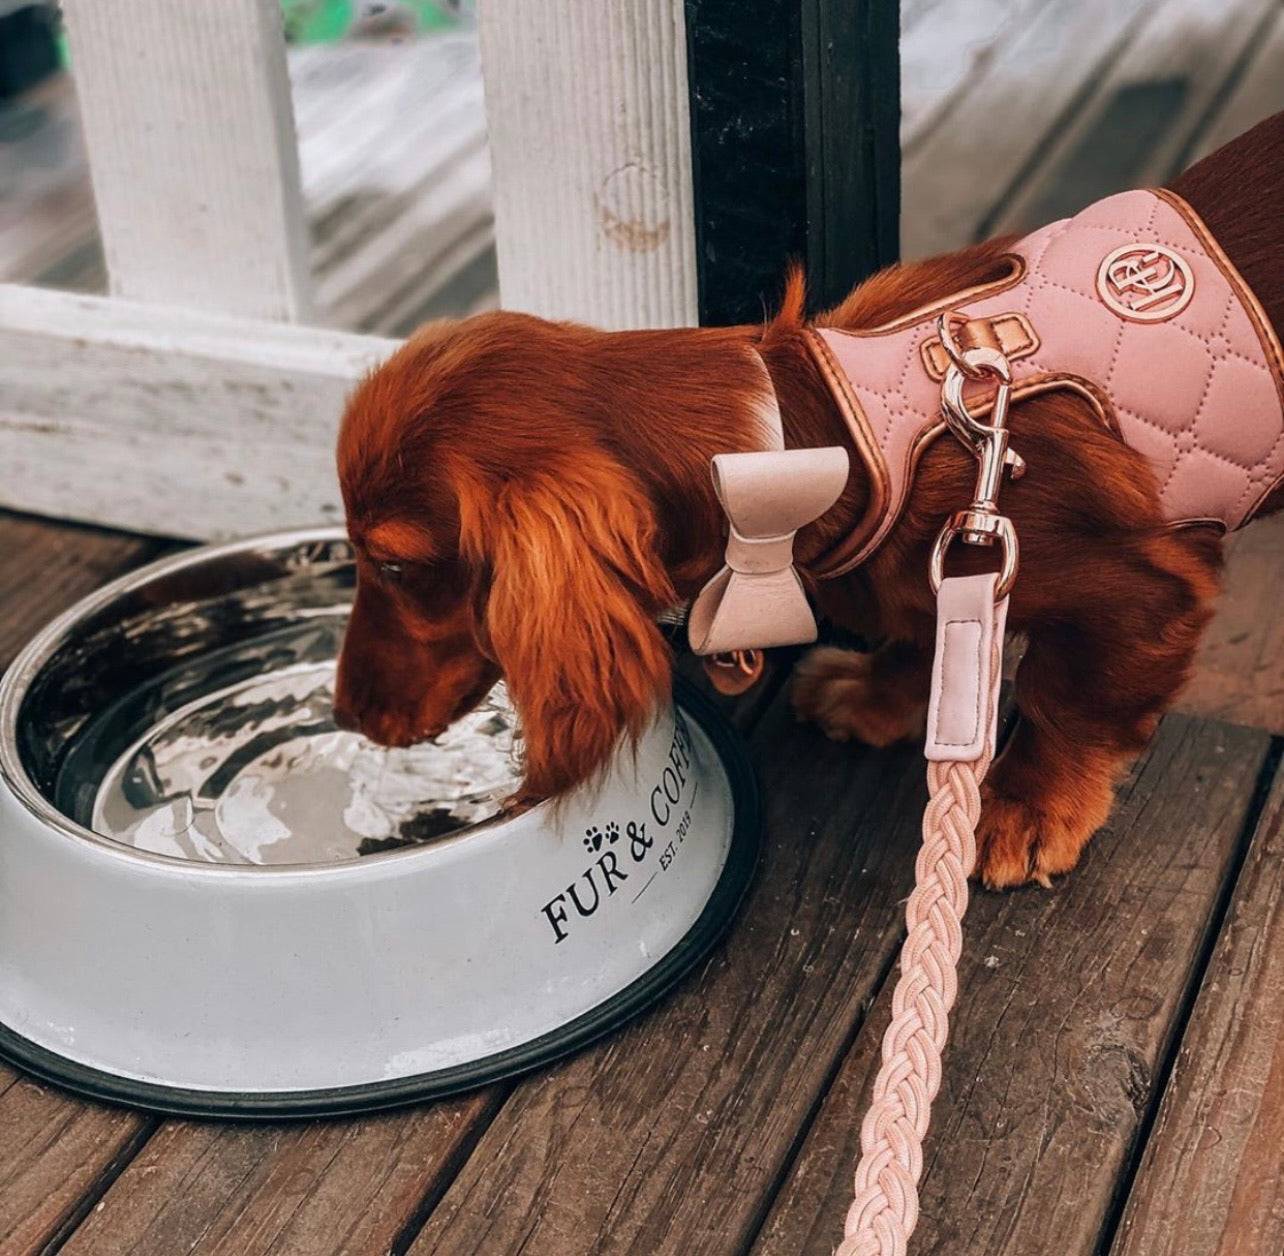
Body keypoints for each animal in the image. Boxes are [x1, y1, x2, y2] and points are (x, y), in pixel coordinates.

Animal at [333, 112, 1284, 888]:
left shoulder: (1145, 586)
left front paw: (1028, 807)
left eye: (394, 565)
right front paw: (878, 697)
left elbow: (1069, 703)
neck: (830, 432)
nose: (345, 713)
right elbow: (924, 630)